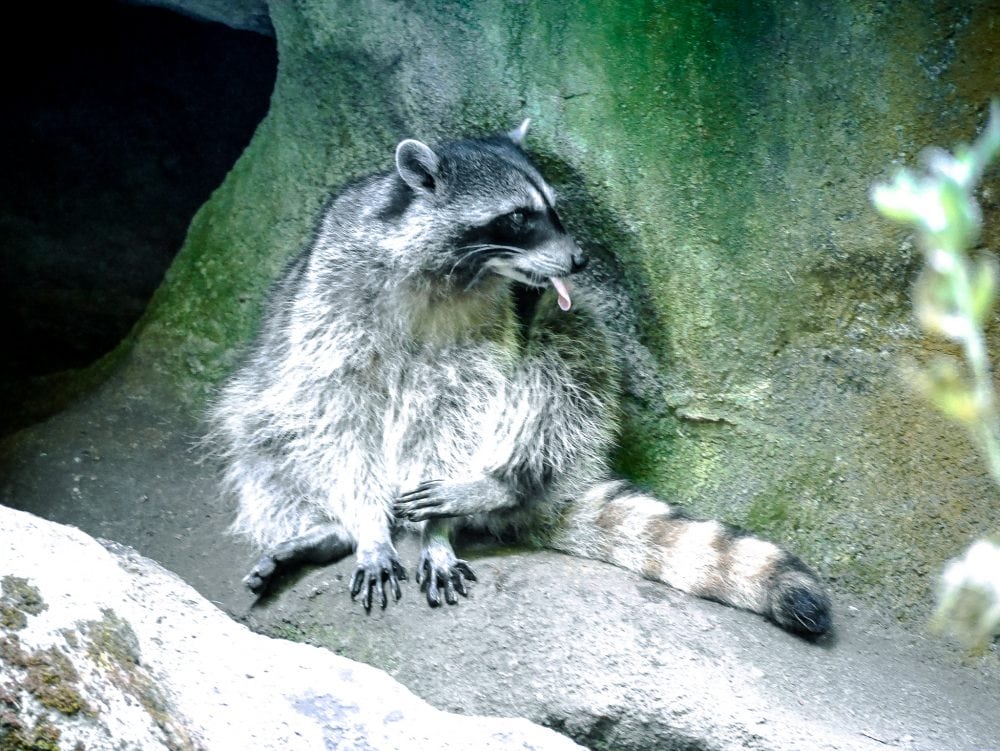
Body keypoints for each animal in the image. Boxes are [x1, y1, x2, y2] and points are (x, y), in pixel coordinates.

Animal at [207, 120, 832, 636]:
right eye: (517, 217)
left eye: (554, 209)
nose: (580, 261)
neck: (445, 271)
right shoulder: (333, 301)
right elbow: (335, 411)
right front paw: (364, 523)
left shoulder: (491, 322)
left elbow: (463, 406)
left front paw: (437, 531)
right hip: (264, 392)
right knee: (263, 435)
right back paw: (329, 526)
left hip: (554, 351)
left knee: (565, 355)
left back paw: (506, 483)